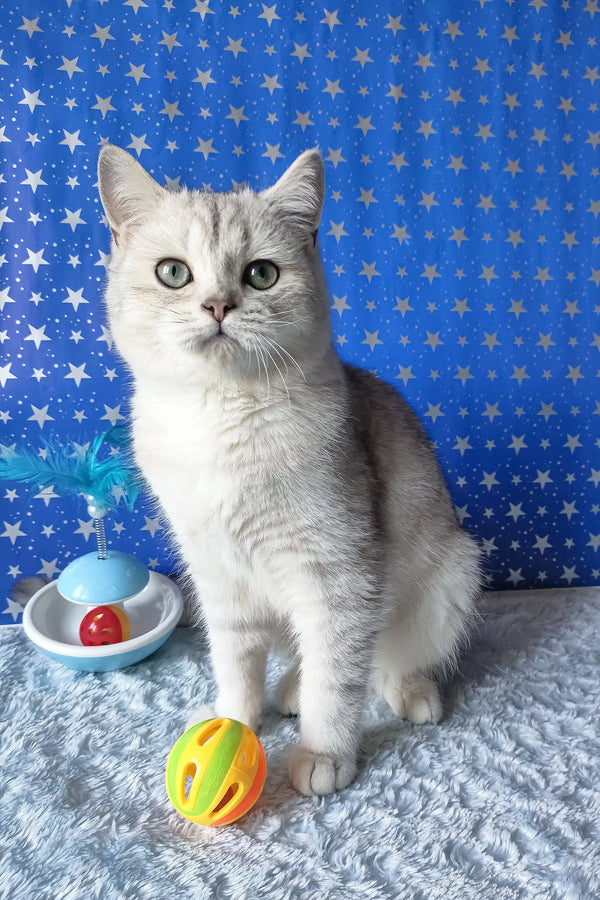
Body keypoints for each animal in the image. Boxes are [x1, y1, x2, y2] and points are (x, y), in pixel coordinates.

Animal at [98, 146, 482, 796]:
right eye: (173, 273)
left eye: (260, 275)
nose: (218, 305)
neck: (220, 420)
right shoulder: (218, 578)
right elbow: (236, 666)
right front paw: (233, 720)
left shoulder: (337, 574)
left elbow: (337, 678)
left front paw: (324, 754)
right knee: (307, 660)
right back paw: (288, 692)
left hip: (448, 580)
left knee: (383, 661)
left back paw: (410, 693)